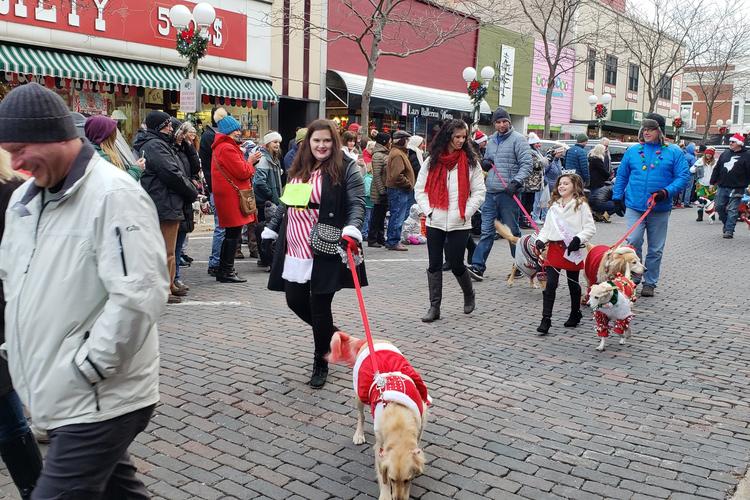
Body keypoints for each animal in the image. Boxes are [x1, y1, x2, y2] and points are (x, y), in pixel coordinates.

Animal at [328, 332, 432, 500]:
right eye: (392, 479)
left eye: (407, 480)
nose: (398, 499)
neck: (399, 422)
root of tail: (373, 340)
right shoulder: (380, 448)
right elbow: (381, 475)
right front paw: (385, 494)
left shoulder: (421, 420)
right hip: (360, 395)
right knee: (361, 416)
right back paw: (359, 435)